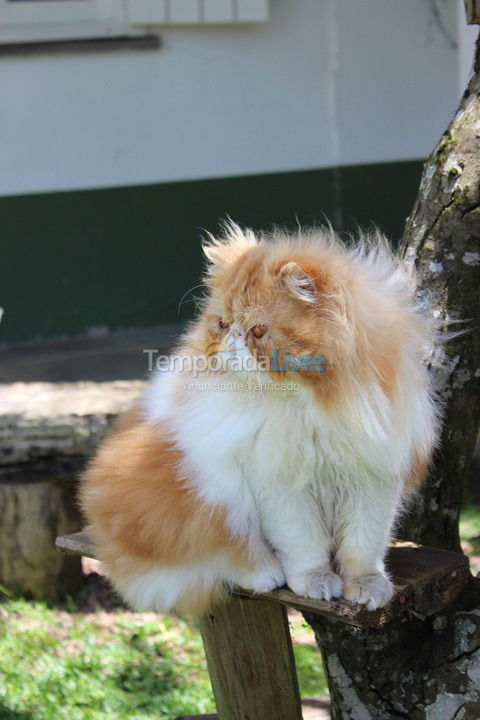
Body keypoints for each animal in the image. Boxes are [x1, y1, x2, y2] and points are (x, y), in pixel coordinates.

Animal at [79, 224, 438, 612]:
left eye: (259, 331)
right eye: (223, 325)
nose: (234, 335)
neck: (310, 407)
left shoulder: (373, 478)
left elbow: (363, 546)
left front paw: (366, 588)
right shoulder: (279, 485)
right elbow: (304, 545)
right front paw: (314, 583)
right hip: (209, 491)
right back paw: (265, 574)